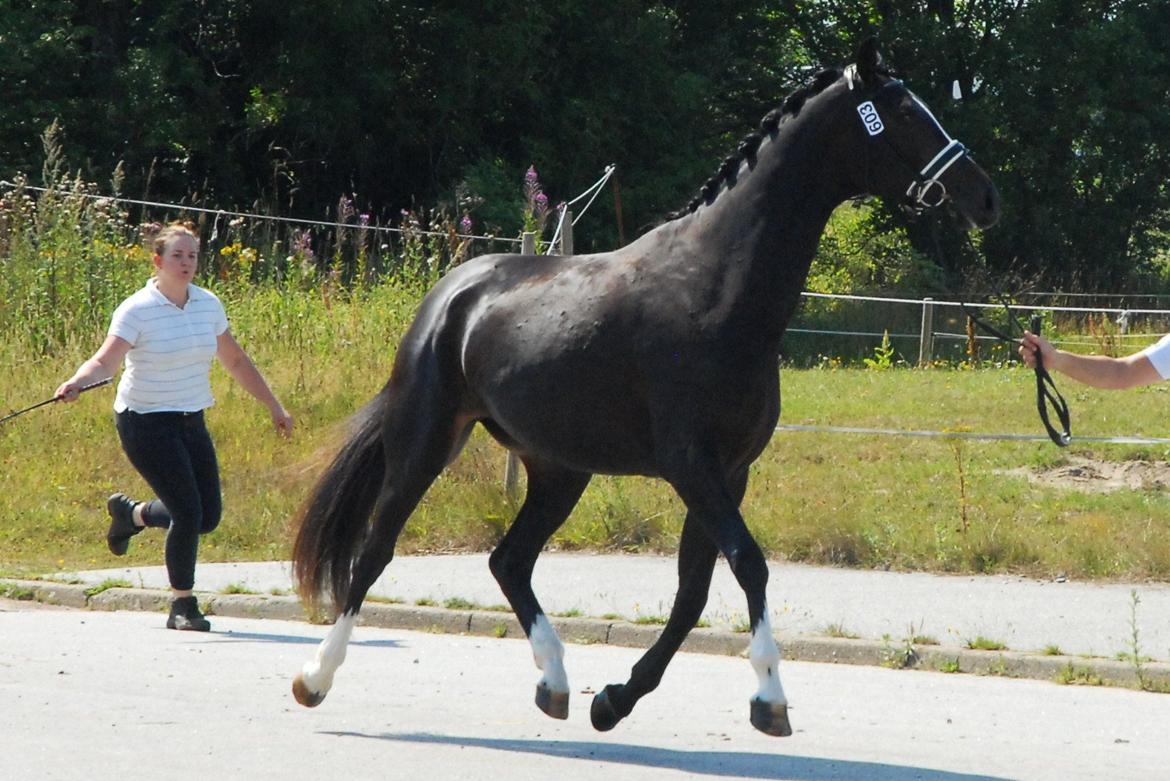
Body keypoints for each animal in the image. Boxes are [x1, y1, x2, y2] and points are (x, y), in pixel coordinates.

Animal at [290, 41, 996, 738]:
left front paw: (615, 700)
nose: (984, 195)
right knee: (375, 551)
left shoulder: (729, 472)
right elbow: (749, 564)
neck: (716, 290)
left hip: (558, 470)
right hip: (426, 443)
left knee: (509, 561)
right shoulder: (692, 465)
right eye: (902, 110)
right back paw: (315, 679)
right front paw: (769, 696)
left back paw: (556, 683)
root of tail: (450, 295)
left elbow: (694, 591)